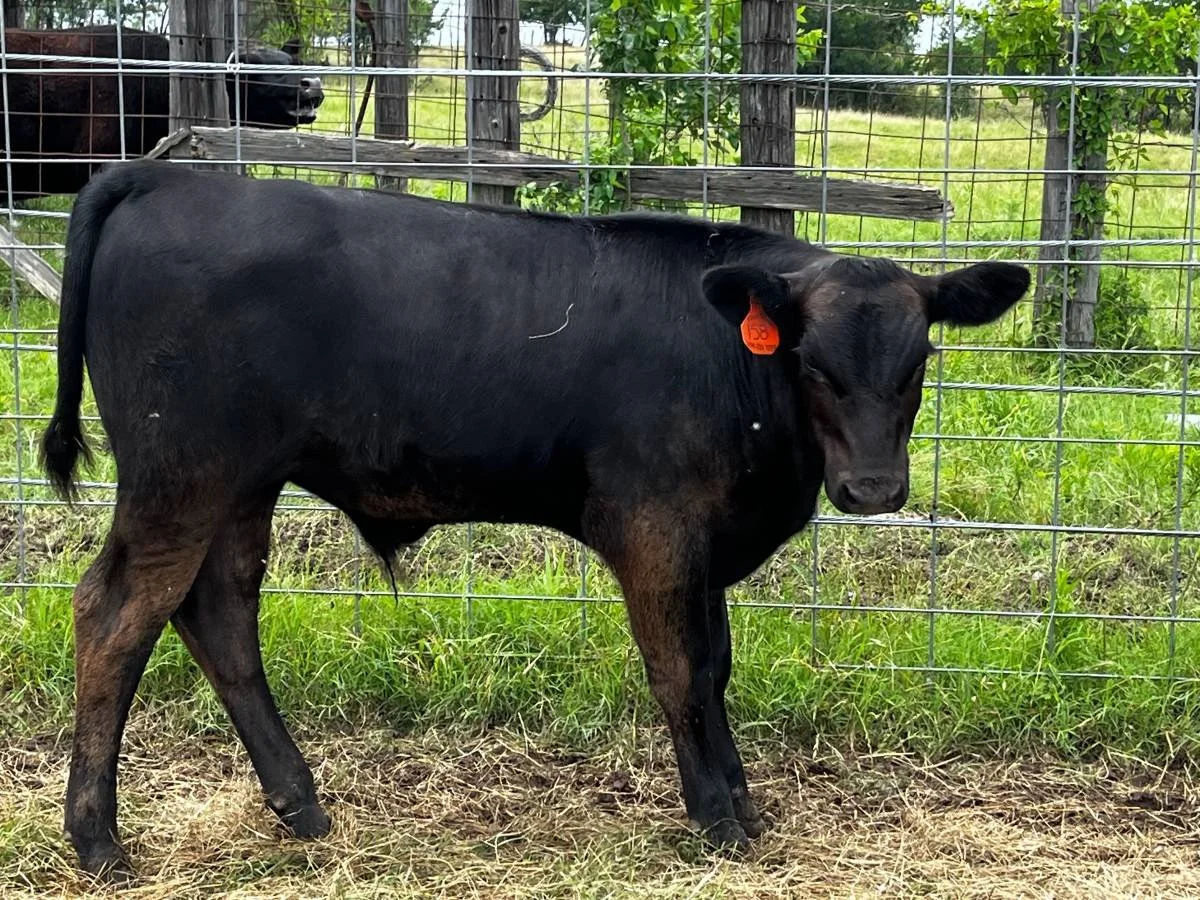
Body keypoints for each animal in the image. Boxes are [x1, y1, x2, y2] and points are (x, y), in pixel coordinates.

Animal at [41, 159, 1030, 882]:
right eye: (813, 363)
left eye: (918, 362)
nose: (872, 488)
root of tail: (169, 177)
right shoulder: (653, 526)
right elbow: (681, 673)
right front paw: (715, 815)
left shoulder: (704, 544)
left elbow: (715, 669)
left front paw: (743, 801)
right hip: (178, 477)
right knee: (114, 615)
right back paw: (97, 840)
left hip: (241, 485)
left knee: (219, 614)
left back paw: (299, 803)